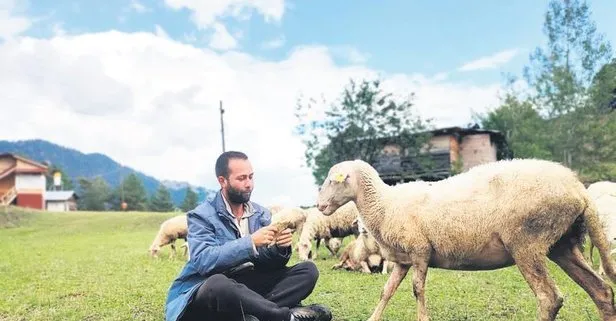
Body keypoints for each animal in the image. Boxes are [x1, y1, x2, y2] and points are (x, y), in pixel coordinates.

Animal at [316, 158, 616, 320]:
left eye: (333, 180)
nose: (319, 206)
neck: (384, 203)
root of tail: (578, 188)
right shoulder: (403, 259)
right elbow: (386, 291)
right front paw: (373, 317)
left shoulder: (420, 251)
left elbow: (417, 290)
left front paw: (423, 317)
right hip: (562, 244)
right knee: (601, 290)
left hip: (526, 243)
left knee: (549, 298)